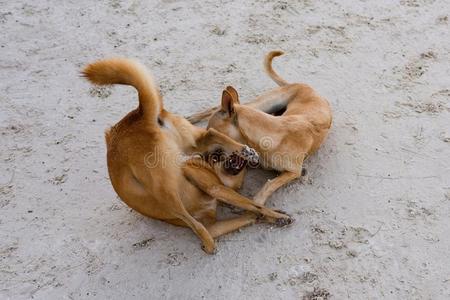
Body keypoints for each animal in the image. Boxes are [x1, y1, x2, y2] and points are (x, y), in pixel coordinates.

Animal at [81, 56, 292, 253]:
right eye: (216, 157)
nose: (211, 156)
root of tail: (139, 116)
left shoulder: (215, 194)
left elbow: (252, 206)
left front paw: (273, 215)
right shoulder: (215, 211)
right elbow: (252, 210)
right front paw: (273, 216)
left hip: (164, 186)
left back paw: (208, 244)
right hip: (183, 155)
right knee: (211, 134)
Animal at [188, 51, 332, 206]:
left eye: (212, 133)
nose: (201, 156)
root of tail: (307, 87)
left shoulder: (293, 171)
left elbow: (271, 184)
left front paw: (258, 200)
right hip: (262, 104)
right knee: (215, 107)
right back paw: (191, 118)